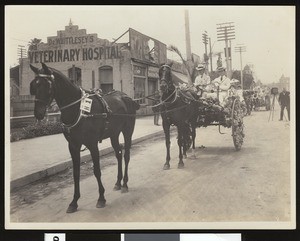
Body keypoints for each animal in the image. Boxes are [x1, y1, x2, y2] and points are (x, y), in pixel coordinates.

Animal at [29, 62, 139, 213]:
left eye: (48, 85)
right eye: (34, 85)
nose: (38, 113)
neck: (79, 109)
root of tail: (126, 97)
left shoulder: (92, 144)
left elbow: (97, 171)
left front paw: (101, 198)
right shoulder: (73, 145)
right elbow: (76, 173)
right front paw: (74, 202)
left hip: (128, 131)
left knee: (126, 155)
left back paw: (125, 184)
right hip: (114, 134)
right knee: (118, 153)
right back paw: (118, 182)